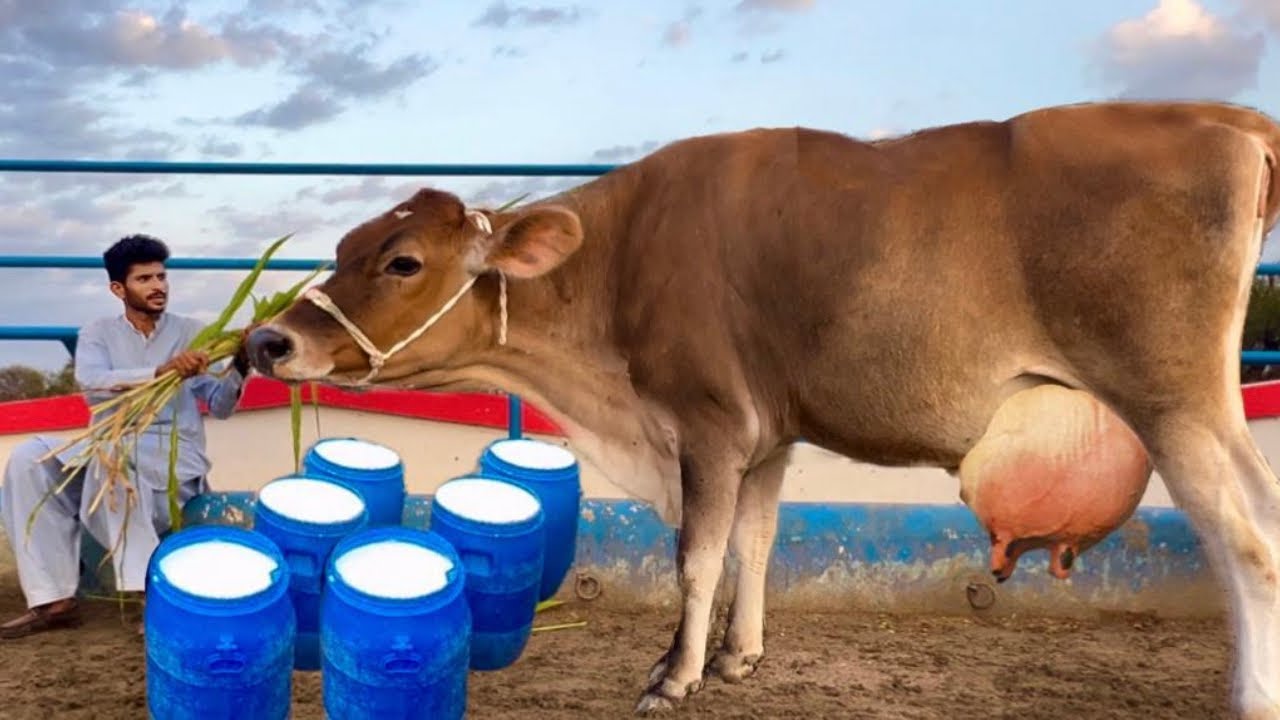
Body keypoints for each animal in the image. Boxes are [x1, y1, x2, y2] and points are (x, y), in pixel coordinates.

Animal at [246, 100, 1280, 718]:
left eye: (402, 261)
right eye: (345, 243)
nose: (267, 342)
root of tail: (1214, 116)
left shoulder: (706, 424)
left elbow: (697, 555)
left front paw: (674, 673)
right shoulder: (769, 434)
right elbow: (754, 541)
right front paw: (737, 658)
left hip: (1174, 398)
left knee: (1247, 544)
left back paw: (1250, 694)